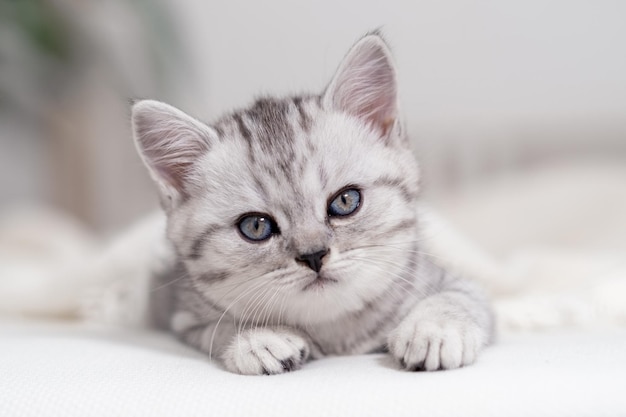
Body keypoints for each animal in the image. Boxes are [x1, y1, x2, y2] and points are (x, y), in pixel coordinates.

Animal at [130, 33, 492, 374]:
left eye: (345, 201)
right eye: (256, 226)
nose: (314, 255)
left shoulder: (457, 284)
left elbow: (459, 297)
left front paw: (434, 330)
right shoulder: (182, 314)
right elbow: (215, 328)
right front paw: (257, 338)